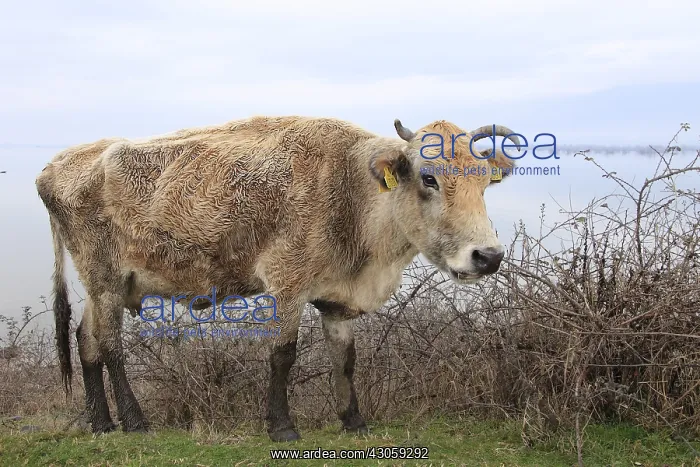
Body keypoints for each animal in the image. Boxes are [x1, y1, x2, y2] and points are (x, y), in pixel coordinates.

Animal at [35, 115, 520, 441]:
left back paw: (101, 423)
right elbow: (283, 355)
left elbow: (345, 359)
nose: (488, 256)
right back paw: (133, 422)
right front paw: (282, 426)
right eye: (429, 178)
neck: (352, 190)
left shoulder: (336, 297)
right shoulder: (287, 283)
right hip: (105, 278)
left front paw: (354, 421)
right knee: (110, 346)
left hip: (107, 286)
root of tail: (54, 165)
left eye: (485, 182)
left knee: (85, 340)